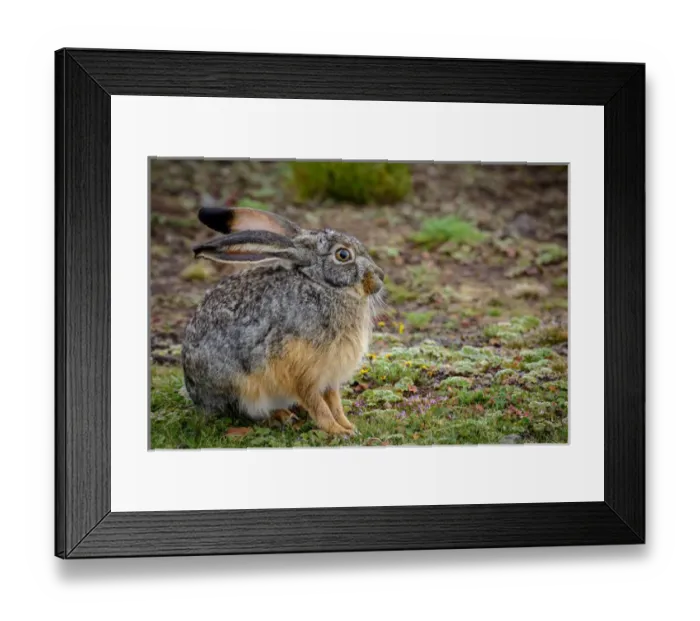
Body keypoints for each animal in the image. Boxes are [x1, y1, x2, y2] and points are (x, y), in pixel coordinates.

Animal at [182, 206, 386, 436]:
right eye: (343, 255)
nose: (380, 276)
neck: (324, 286)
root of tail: (197, 395)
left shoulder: (329, 377)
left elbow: (335, 403)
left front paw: (349, 426)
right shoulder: (301, 372)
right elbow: (318, 404)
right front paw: (338, 431)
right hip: (239, 386)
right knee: (244, 411)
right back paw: (281, 416)